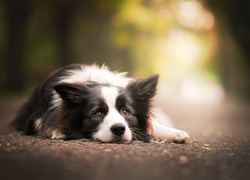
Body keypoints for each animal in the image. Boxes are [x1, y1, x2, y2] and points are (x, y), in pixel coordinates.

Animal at [10, 64, 188, 143]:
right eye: (97, 113)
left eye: (125, 111)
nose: (119, 129)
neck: (95, 82)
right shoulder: (36, 119)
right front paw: (59, 131)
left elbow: (153, 123)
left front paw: (173, 133)